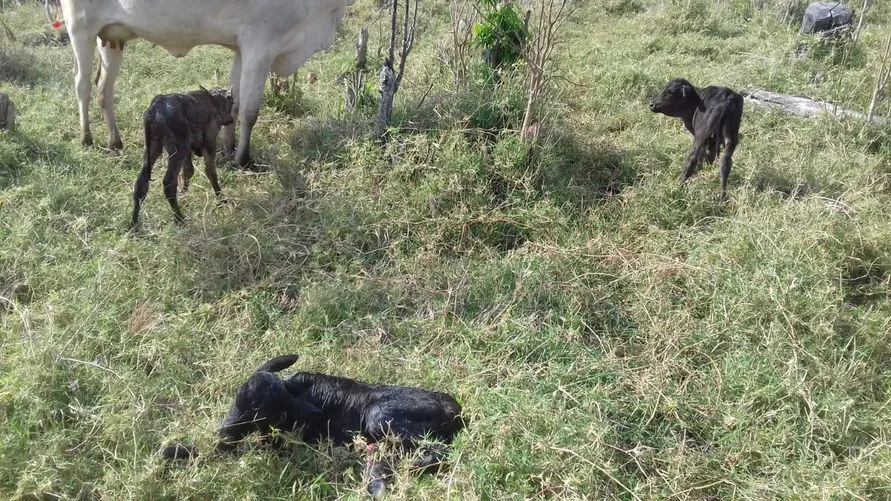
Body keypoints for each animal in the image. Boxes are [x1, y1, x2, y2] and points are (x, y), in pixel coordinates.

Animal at [60, 0, 356, 168]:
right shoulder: (261, 44)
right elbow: (250, 112)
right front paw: (243, 160)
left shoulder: (242, 48)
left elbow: (234, 105)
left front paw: (229, 147)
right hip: (81, 29)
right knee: (82, 86)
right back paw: (87, 138)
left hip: (111, 39)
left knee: (104, 89)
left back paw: (115, 142)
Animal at [131, 87, 233, 228]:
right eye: (232, 102)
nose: (231, 119)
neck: (212, 102)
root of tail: (155, 107)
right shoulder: (209, 142)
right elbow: (210, 171)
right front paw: (221, 199)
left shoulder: (188, 150)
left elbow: (188, 171)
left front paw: (184, 196)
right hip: (177, 149)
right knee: (168, 183)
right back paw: (179, 218)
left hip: (154, 147)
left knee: (141, 183)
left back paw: (134, 223)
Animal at [162, 354, 466, 498]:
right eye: (238, 401)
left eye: (262, 412)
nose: (227, 430)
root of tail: (456, 407)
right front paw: (174, 452)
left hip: (378, 415)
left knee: (438, 453)